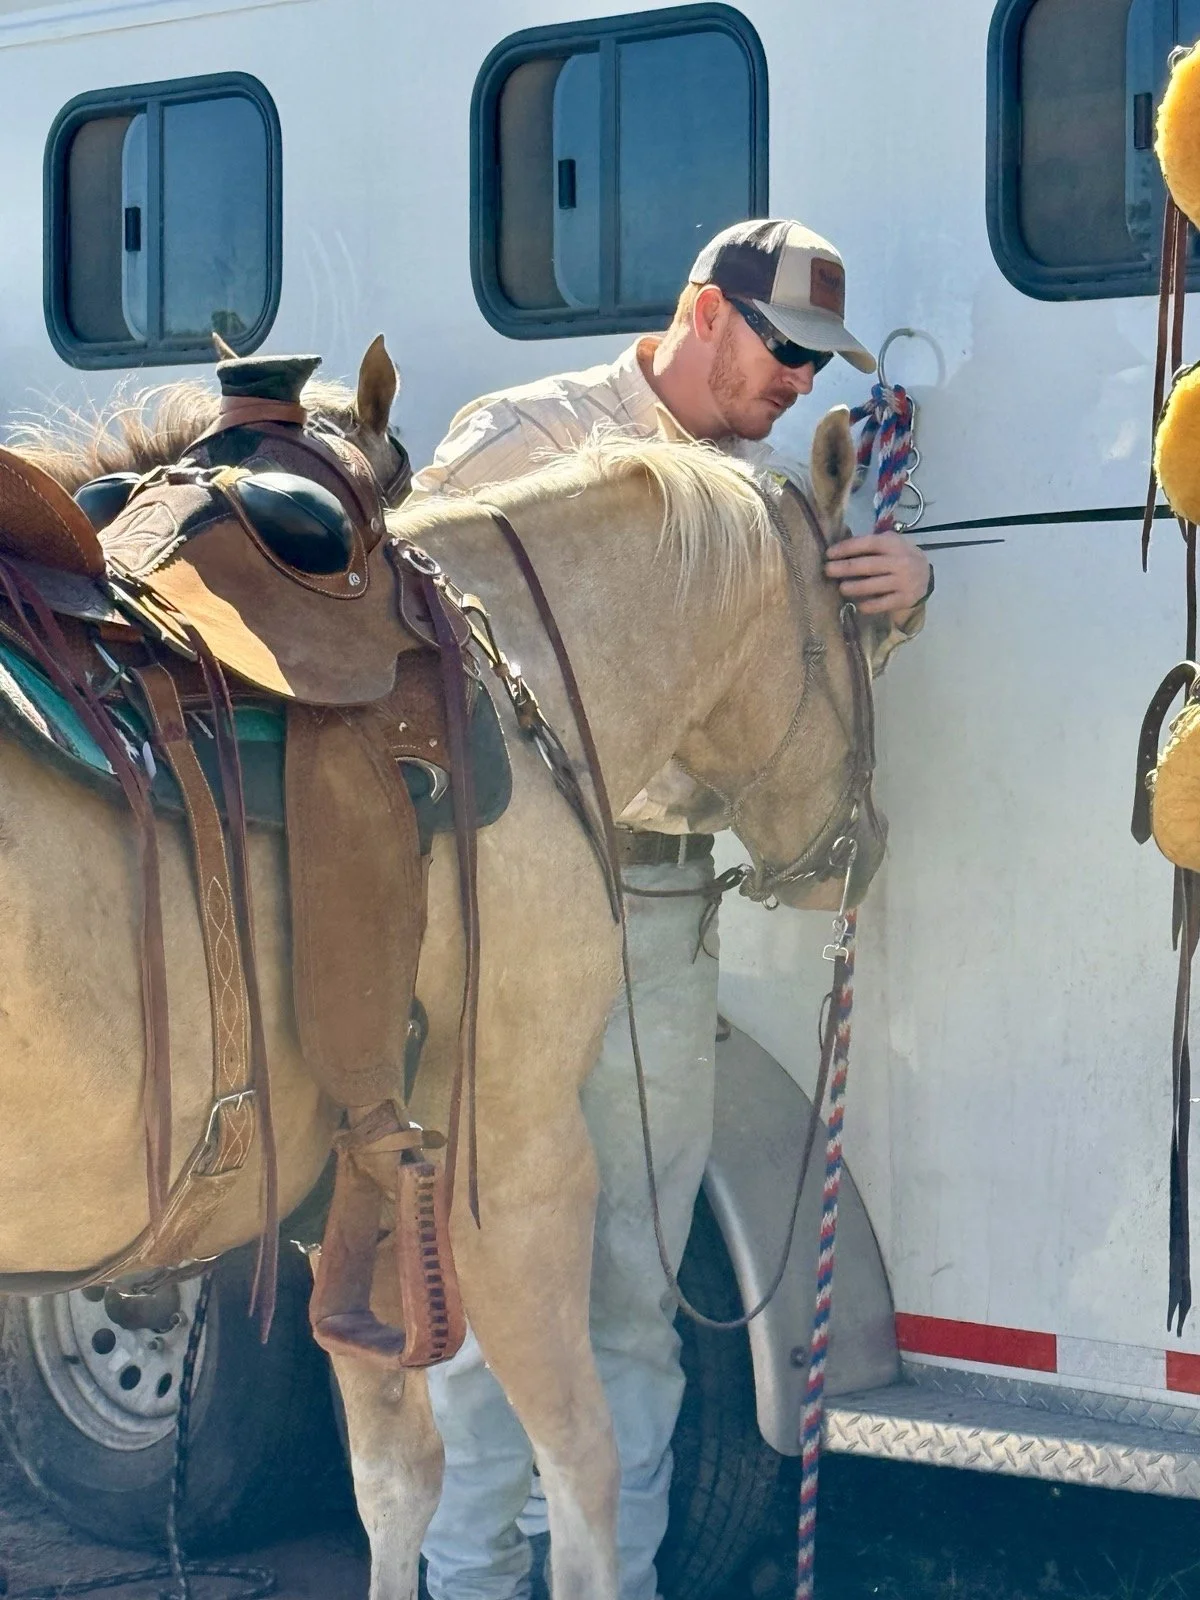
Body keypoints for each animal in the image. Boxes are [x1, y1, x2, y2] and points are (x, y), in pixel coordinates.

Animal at [0, 399, 874, 1600]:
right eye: (873, 630)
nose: (859, 854)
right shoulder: (511, 1160)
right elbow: (582, 1469)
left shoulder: (358, 1177)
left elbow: (397, 1477)